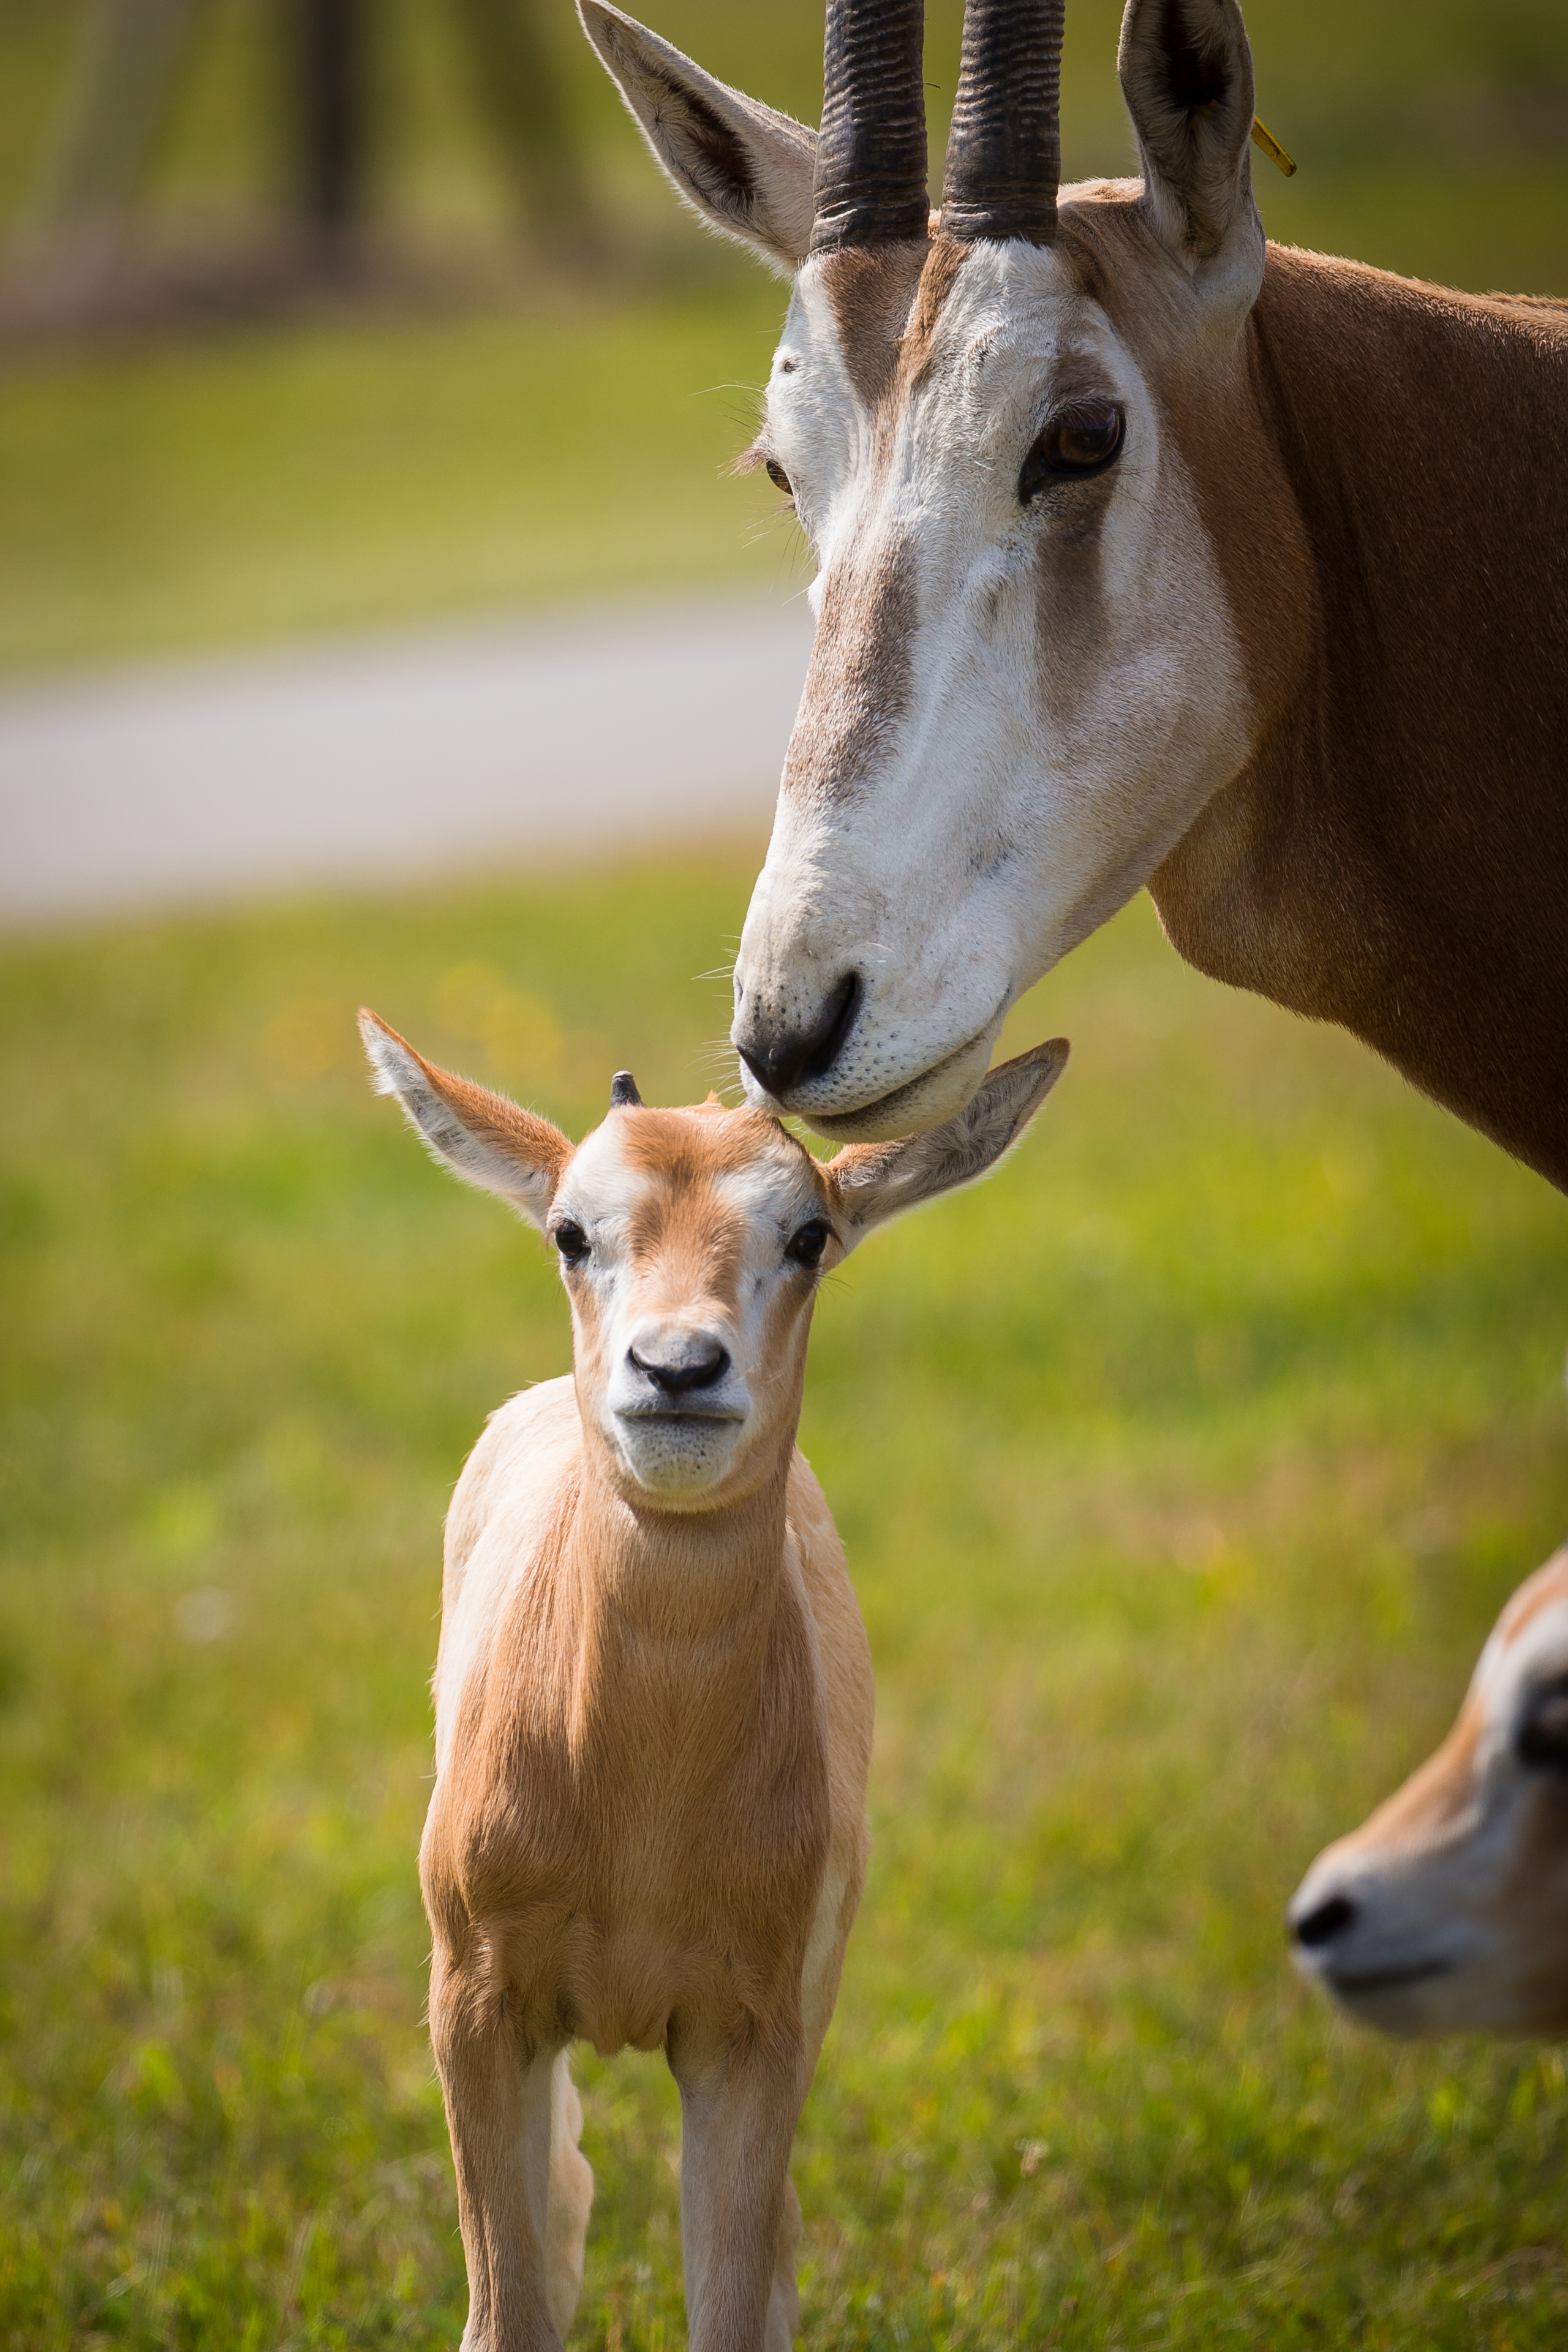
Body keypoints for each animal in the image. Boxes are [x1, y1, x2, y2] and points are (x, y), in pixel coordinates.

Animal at [360, 1011, 1067, 2352]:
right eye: (571, 1231)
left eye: (807, 1234)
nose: (677, 1370)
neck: (641, 1809)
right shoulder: (475, 2005)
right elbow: (508, 2311)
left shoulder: (754, 2031)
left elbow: (735, 2307)